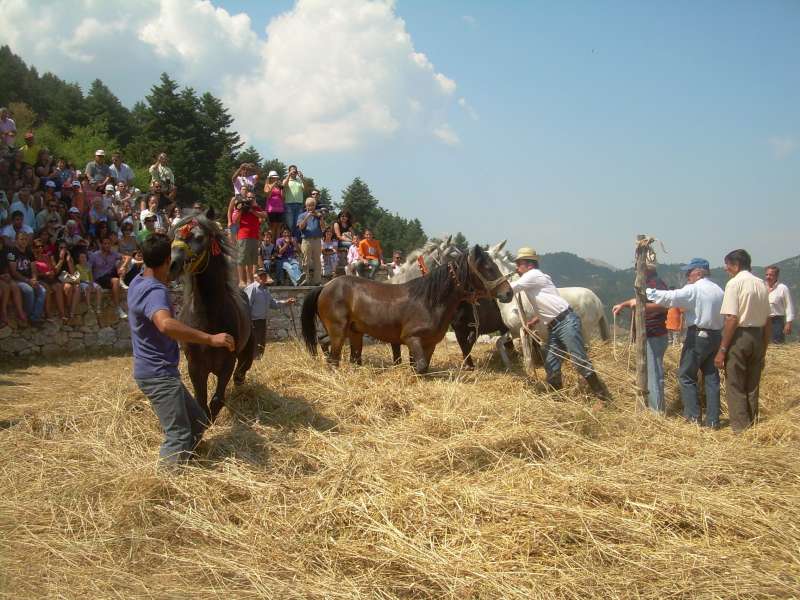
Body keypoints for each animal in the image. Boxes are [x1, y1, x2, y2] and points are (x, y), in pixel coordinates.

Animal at [169, 213, 253, 420]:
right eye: (174, 235)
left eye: (199, 237)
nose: (172, 265)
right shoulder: (195, 365)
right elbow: (201, 402)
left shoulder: (228, 363)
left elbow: (216, 401)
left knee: (240, 374)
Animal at [300, 246, 512, 372]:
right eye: (488, 268)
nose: (508, 293)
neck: (429, 300)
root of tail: (325, 286)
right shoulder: (410, 338)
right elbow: (420, 366)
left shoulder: (430, 343)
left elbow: (422, 365)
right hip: (339, 331)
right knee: (334, 356)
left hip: (353, 332)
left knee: (347, 354)